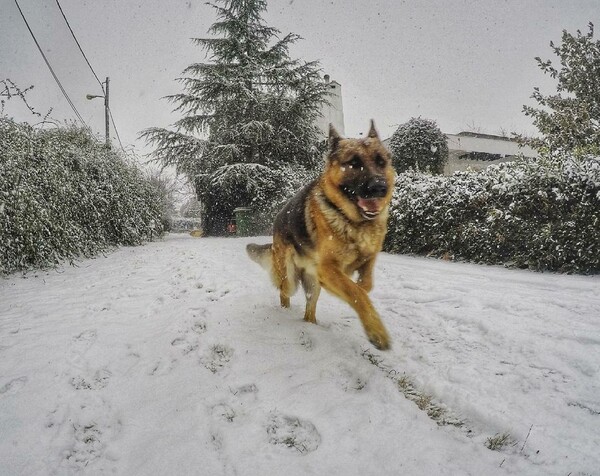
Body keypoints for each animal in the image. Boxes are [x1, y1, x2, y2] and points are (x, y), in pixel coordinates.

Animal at [246, 121, 396, 348]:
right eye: (354, 162)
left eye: (381, 161)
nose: (380, 187)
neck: (353, 221)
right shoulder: (328, 269)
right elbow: (357, 293)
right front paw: (376, 331)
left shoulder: (366, 258)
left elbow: (365, 284)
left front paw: (362, 286)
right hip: (291, 279)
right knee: (283, 292)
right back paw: (286, 314)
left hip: (313, 283)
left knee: (309, 311)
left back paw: (312, 326)